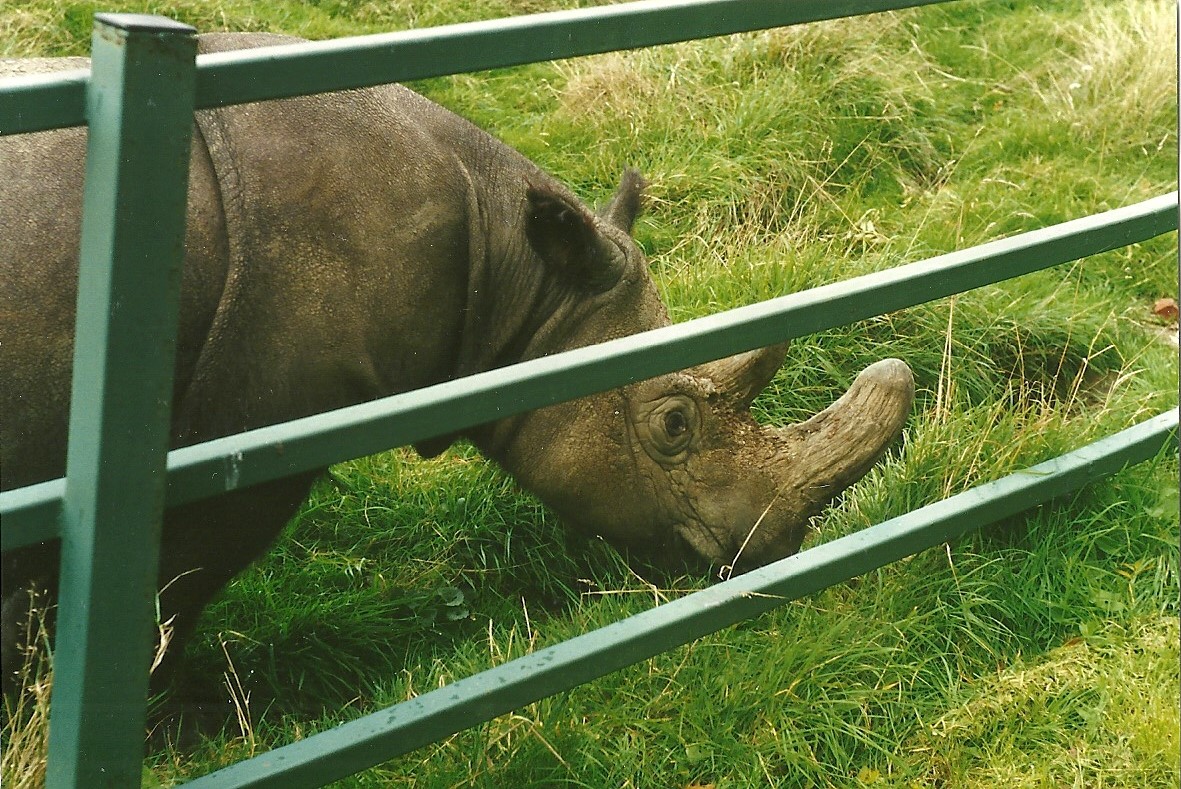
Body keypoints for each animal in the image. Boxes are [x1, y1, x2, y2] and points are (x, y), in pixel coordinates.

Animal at [0, 33, 914, 693]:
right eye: (672, 423)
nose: (771, 554)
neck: (518, 278)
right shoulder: (239, 445)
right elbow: (168, 593)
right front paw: (150, 723)